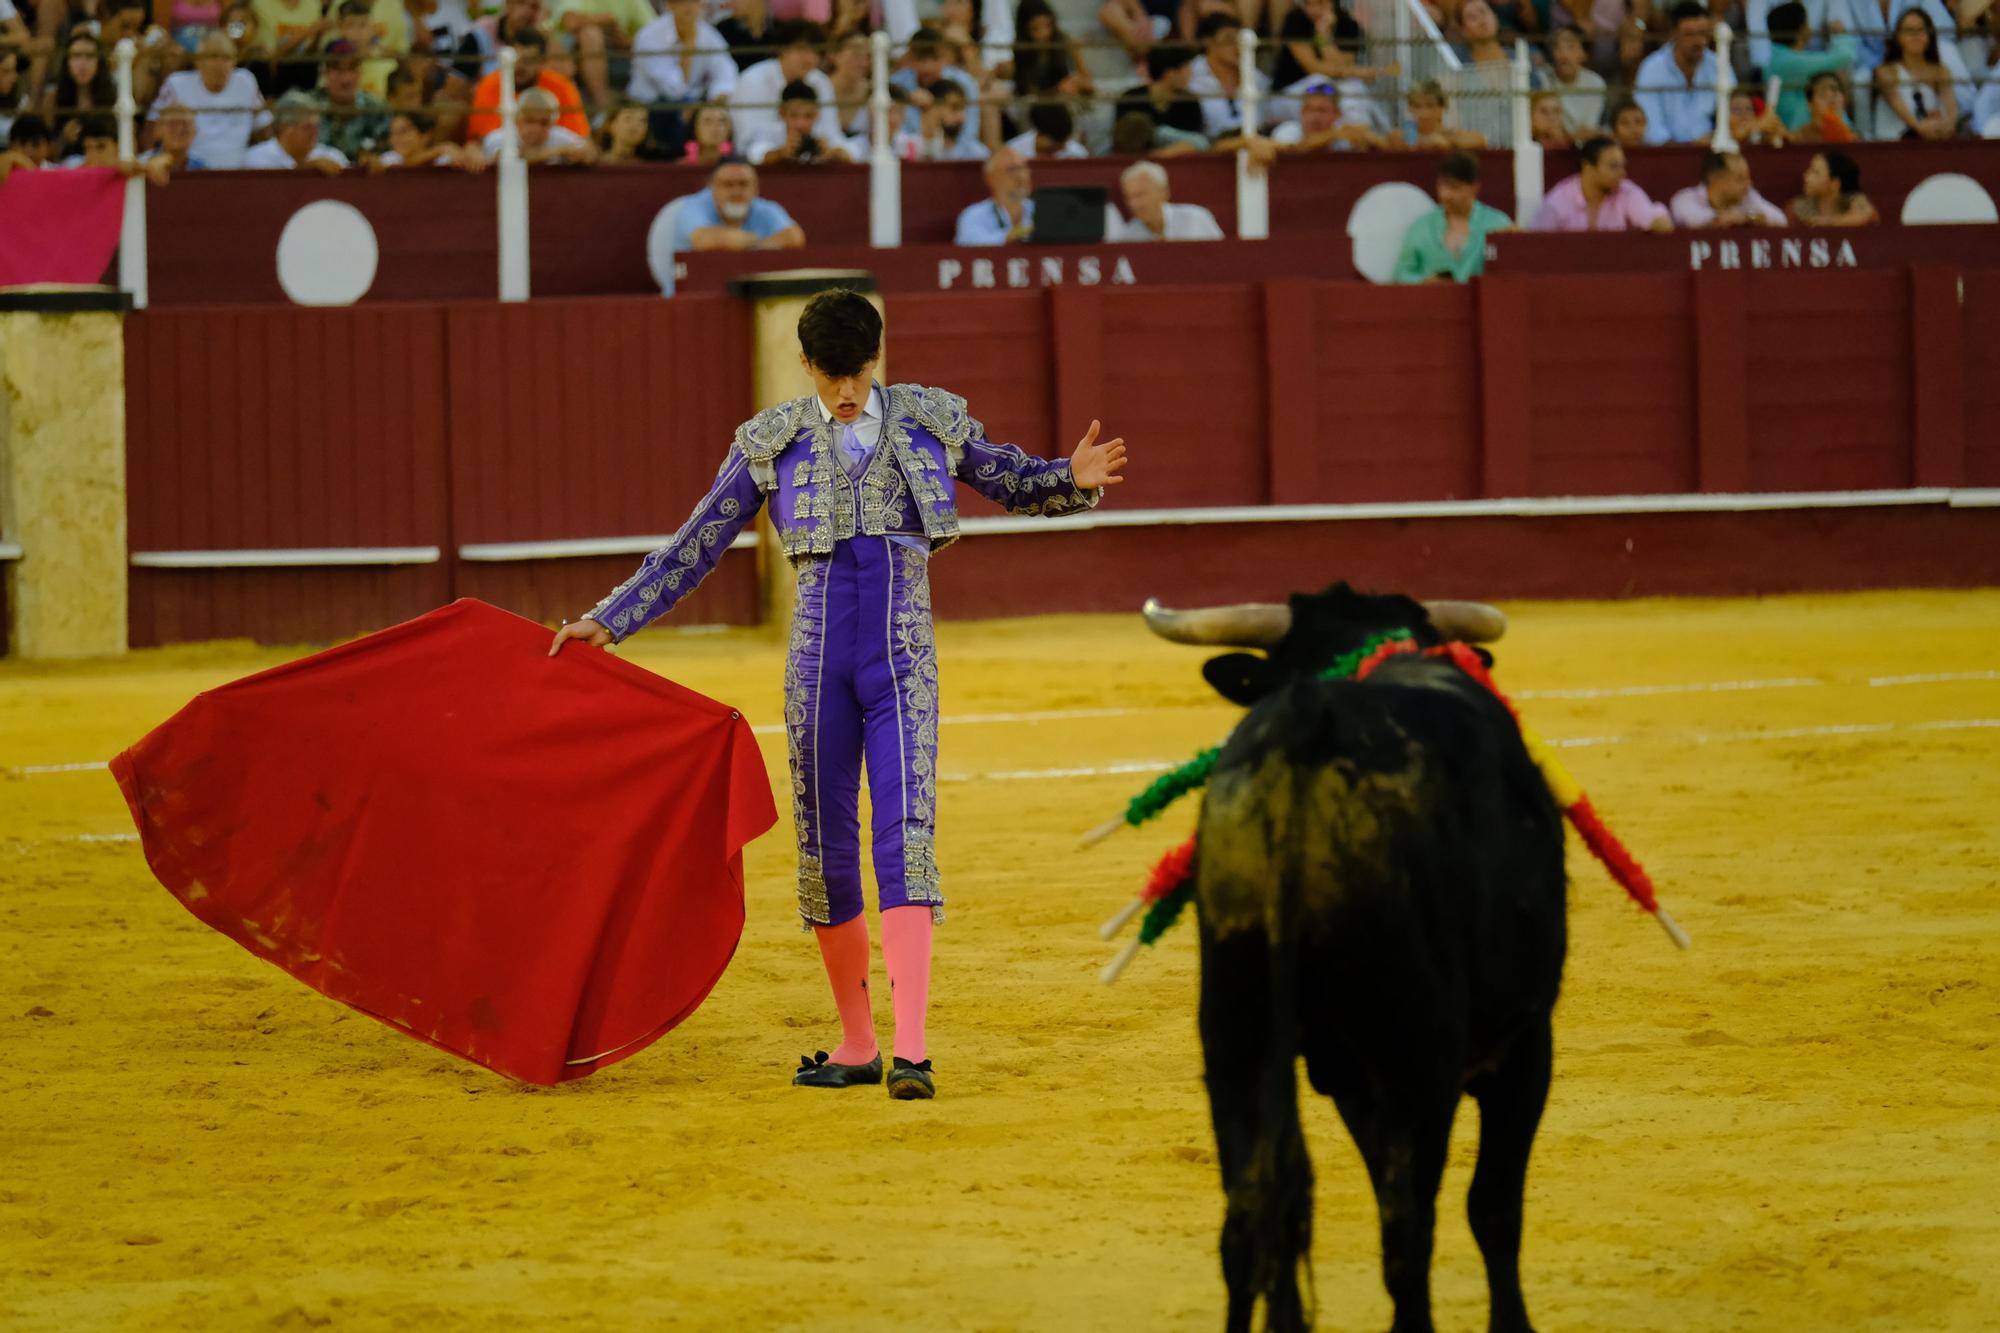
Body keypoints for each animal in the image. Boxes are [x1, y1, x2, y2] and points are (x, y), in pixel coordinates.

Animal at [1168, 584, 1568, 1328]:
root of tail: (1311, 732)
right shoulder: (1525, 1045)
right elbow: (1494, 1207)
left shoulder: (1346, 1075)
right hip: (1418, 1056)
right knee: (1409, 1233)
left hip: (1235, 1039)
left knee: (1250, 1223)